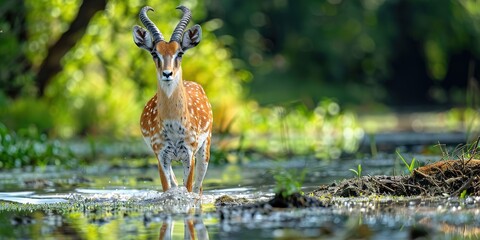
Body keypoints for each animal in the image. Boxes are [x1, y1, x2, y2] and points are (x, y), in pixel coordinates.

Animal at [132, 5, 213, 193]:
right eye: (154, 53)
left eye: (180, 52)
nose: (167, 73)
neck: (173, 126)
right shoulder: (161, 154)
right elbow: (168, 189)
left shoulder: (189, 153)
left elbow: (189, 189)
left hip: (205, 148)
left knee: (199, 188)